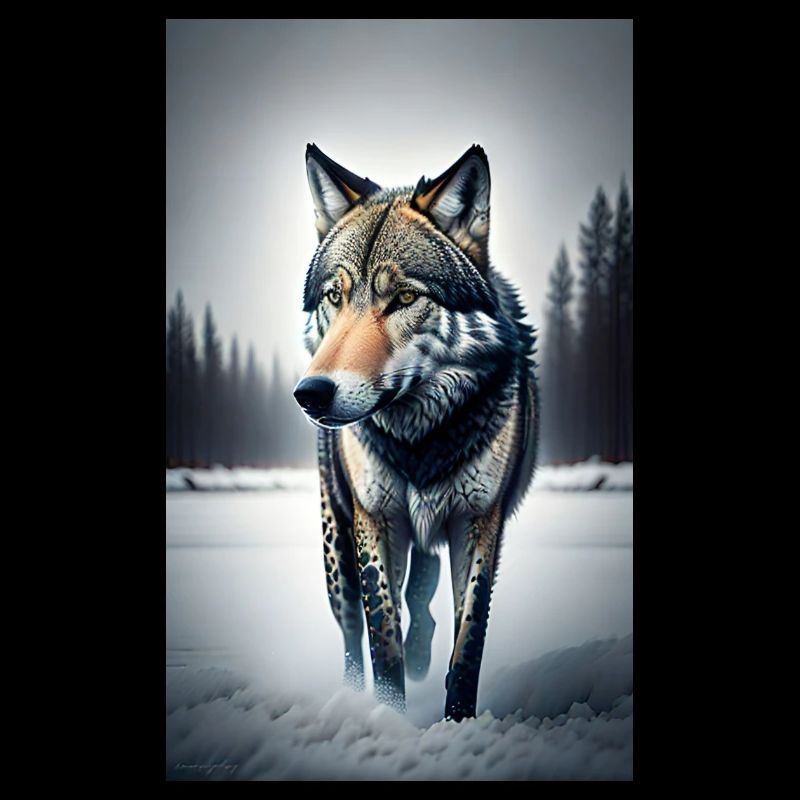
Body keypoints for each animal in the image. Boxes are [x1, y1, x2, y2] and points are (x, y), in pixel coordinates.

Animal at [294, 143, 539, 721]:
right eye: (334, 296)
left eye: (404, 298)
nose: (311, 393)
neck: (419, 442)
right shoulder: (376, 521)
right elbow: (383, 638)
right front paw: (390, 716)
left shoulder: (479, 521)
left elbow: (468, 640)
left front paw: (458, 720)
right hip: (336, 549)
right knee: (352, 632)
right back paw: (351, 696)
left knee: (422, 606)